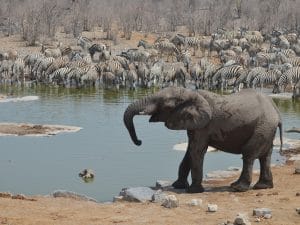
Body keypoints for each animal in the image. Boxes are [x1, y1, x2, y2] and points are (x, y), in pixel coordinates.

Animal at [123, 87, 282, 192]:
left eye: (166, 105)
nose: (139, 142)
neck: (191, 93)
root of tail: (275, 109)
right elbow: (189, 152)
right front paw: (178, 186)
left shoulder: (204, 126)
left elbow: (196, 151)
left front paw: (193, 191)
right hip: (267, 128)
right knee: (265, 156)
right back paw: (263, 187)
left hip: (263, 126)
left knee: (249, 154)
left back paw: (237, 187)